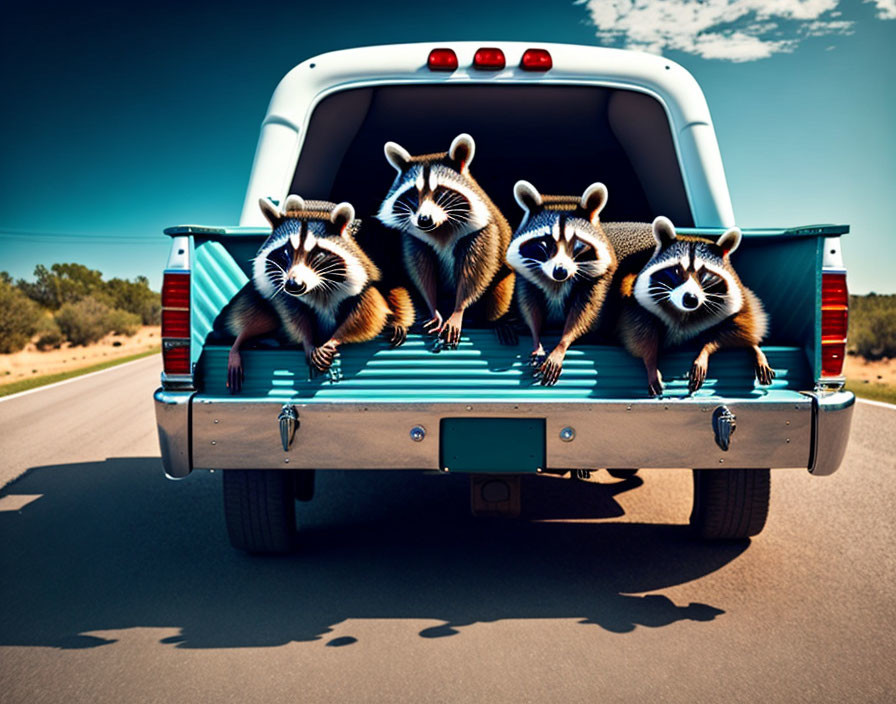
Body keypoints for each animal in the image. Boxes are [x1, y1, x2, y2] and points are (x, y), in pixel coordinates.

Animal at [228, 195, 416, 394]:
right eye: (286, 252)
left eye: (318, 255)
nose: (294, 285)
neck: (318, 288)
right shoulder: (282, 290)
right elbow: (293, 315)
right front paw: (308, 343)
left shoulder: (368, 280)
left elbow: (367, 314)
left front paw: (334, 340)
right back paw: (242, 341)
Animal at [376, 133, 516, 346]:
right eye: (413, 194)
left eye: (439, 193)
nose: (424, 220)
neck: (439, 228)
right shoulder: (414, 237)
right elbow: (421, 270)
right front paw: (433, 308)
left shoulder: (482, 231)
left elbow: (475, 272)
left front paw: (458, 310)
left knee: (502, 286)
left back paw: (497, 320)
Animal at [508, 177, 620, 384]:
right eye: (545, 243)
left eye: (577, 244)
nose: (560, 272)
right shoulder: (526, 277)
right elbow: (530, 307)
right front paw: (536, 339)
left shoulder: (597, 279)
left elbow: (583, 314)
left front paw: (562, 344)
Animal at [620, 214, 772, 396]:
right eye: (677, 271)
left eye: (704, 274)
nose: (690, 299)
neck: (684, 313)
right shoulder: (639, 306)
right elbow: (640, 337)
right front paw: (651, 363)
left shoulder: (736, 304)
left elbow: (731, 330)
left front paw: (704, 351)